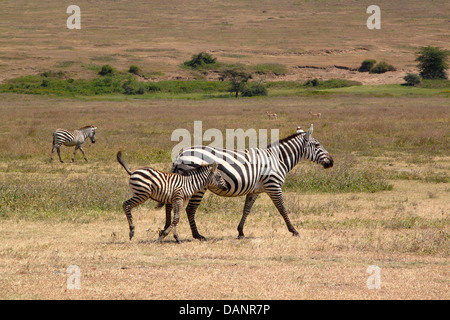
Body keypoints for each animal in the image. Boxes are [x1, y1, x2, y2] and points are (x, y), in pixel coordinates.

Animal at [169, 124, 334, 239]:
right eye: (317, 145)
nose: (331, 162)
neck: (278, 159)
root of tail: (180, 155)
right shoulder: (273, 186)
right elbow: (282, 209)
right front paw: (294, 231)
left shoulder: (255, 191)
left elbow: (246, 210)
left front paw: (240, 231)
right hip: (198, 186)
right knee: (191, 209)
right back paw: (197, 235)